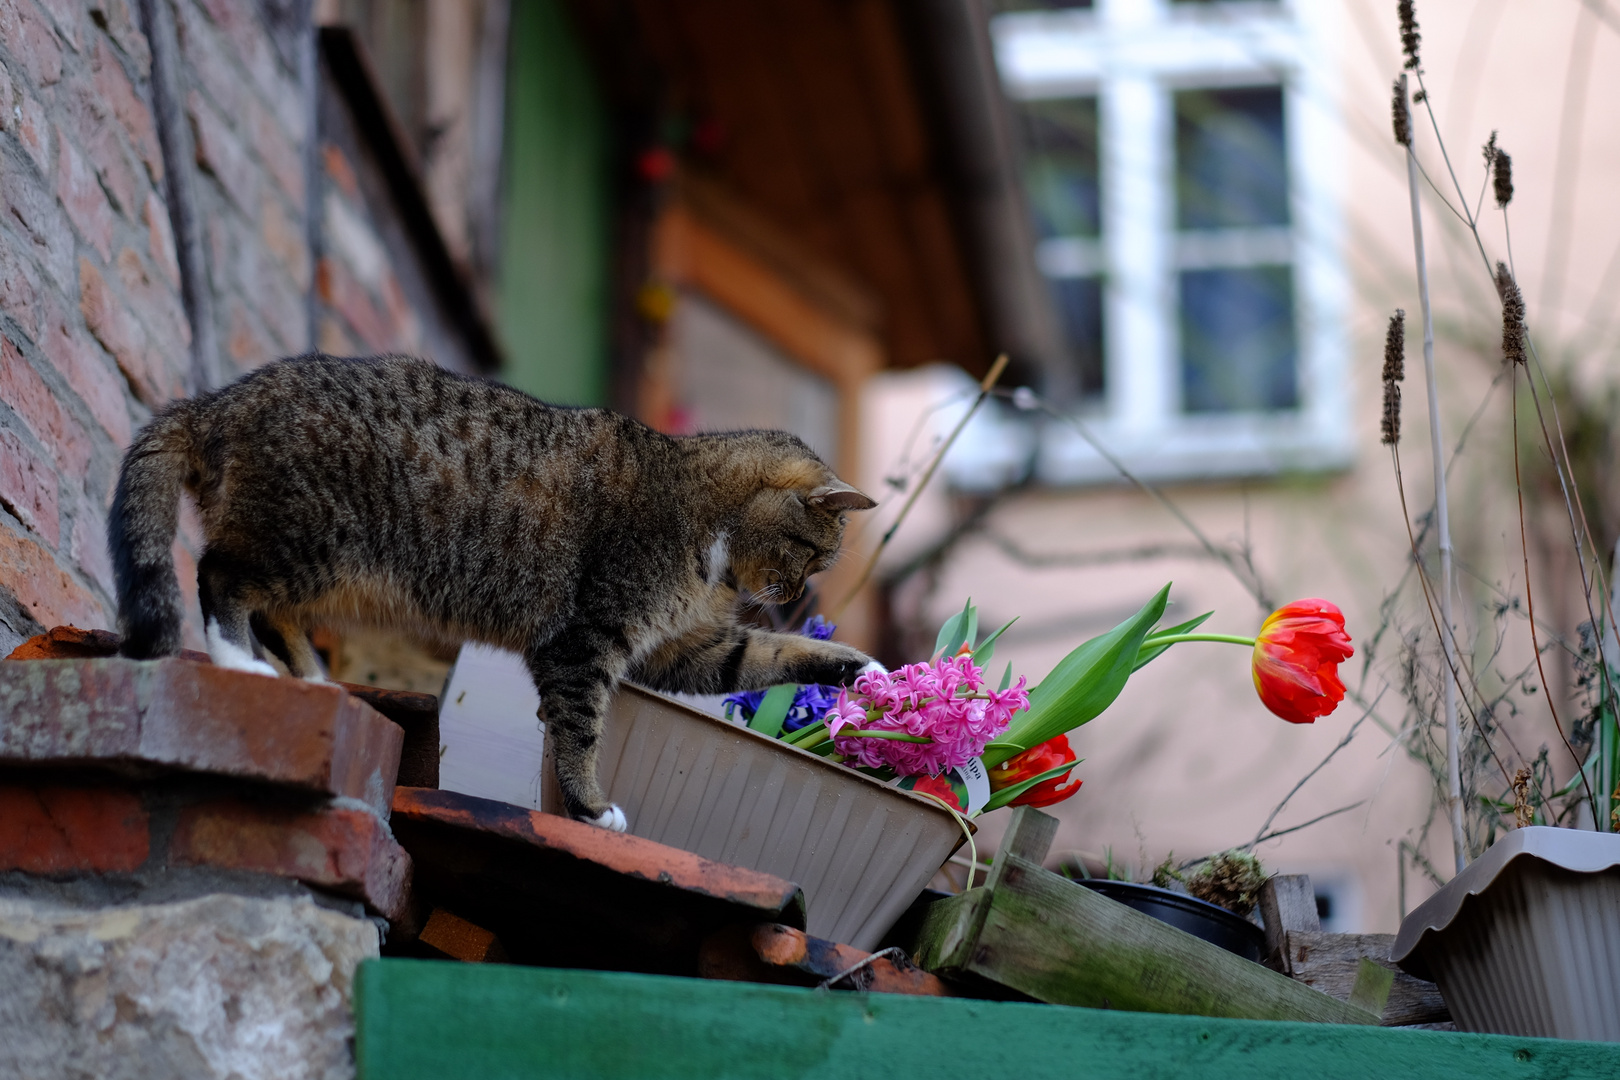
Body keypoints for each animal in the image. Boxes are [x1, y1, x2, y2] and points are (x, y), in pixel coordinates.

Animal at [109, 352, 881, 829]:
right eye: (816, 554)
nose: (793, 591)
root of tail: (219, 401)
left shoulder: (682, 647)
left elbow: (765, 657)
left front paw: (867, 672)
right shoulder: (586, 639)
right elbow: (579, 728)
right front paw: (591, 808)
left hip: (320, 567)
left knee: (274, 612)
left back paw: (311, 678)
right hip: (311, 543)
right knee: (218, 576)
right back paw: (238, 661)